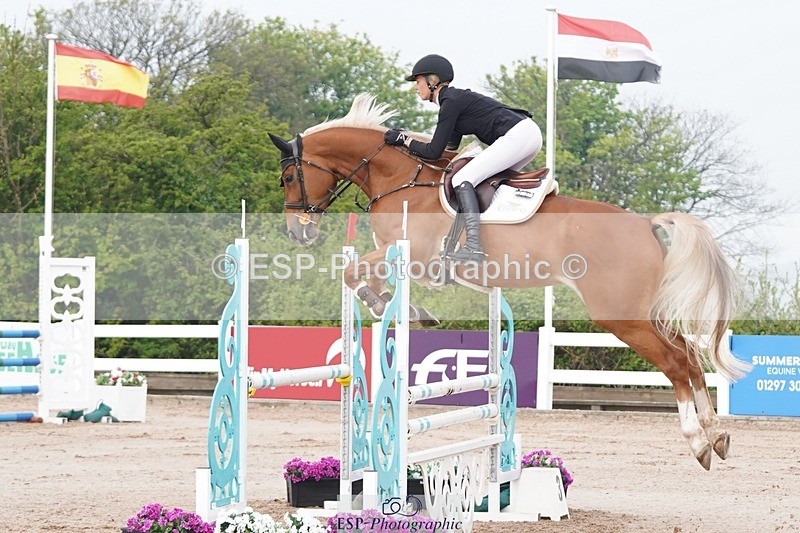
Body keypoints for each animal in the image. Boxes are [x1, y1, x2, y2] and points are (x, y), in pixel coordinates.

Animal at [268, 94, 749, 470]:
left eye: (289, 176)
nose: (298, 233)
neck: (398, 179)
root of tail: (646, 223)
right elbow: (354, 274)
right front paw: (402, 307)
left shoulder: (411, 257)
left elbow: (351, 273)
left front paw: (397, 306)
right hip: (643, 312)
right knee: (690, 357)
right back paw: (717, 435)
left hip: (621, 316)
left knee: (675, 363)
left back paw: (698, 442)